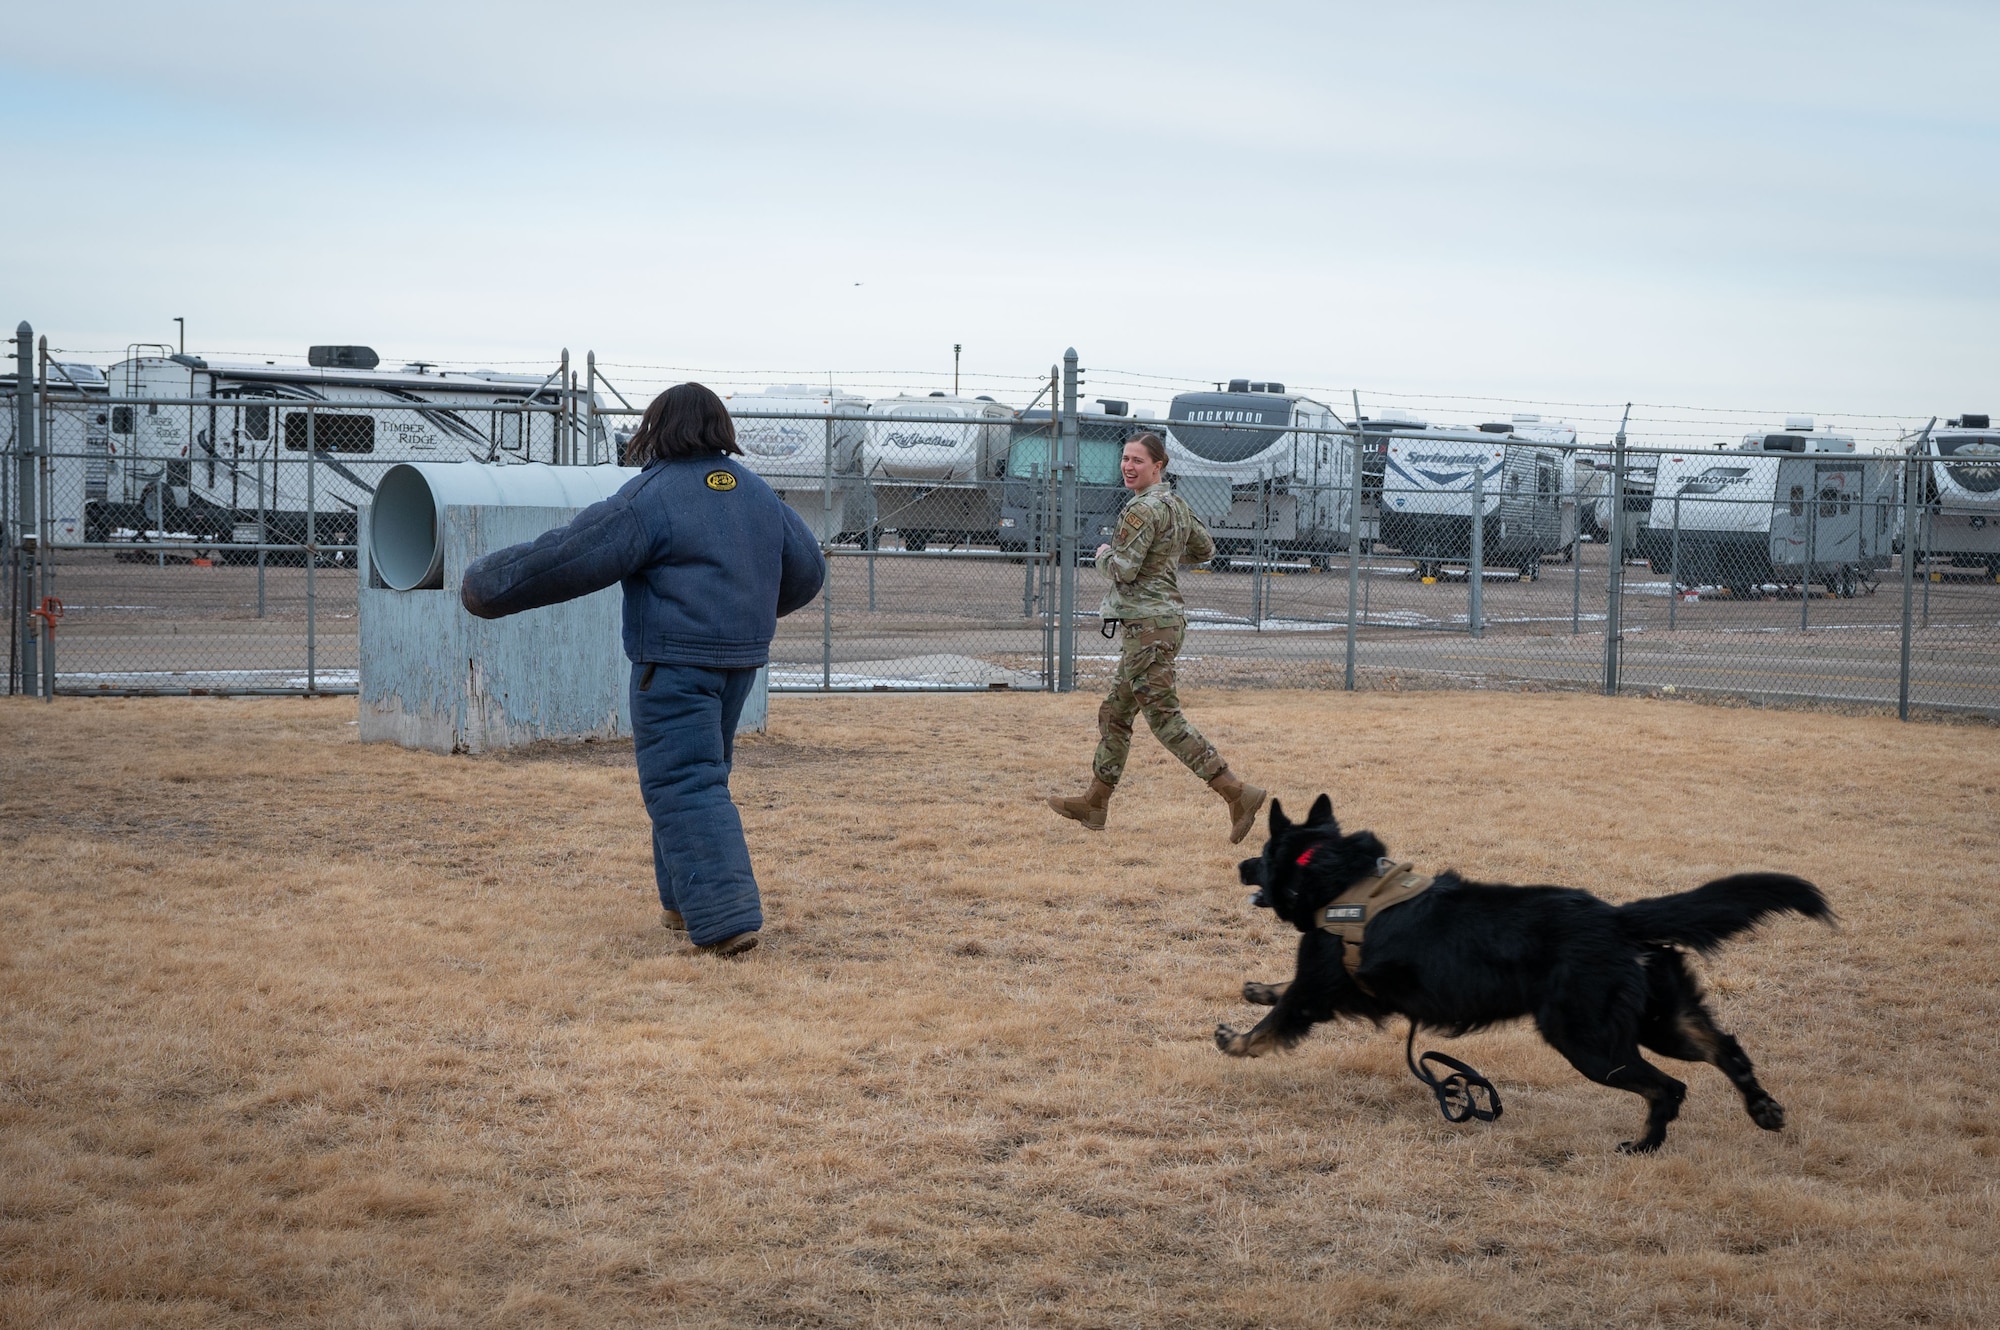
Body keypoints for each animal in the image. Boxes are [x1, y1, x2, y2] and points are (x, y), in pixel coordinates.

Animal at [1208, 792, 1832, 1144]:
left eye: (1262, 854)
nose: (1239, 864)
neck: (1334, 874)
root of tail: (1616, 917)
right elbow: (1278, 990)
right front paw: (1256, 988)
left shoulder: (1317, 987)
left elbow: (1274, 1022)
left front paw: (1234, 1041)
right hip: (1659, 1021)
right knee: (1725, 1048)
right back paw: (1763, 1109)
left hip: (1587, 1040)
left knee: (1668, 1087)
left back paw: (1645, 1146)